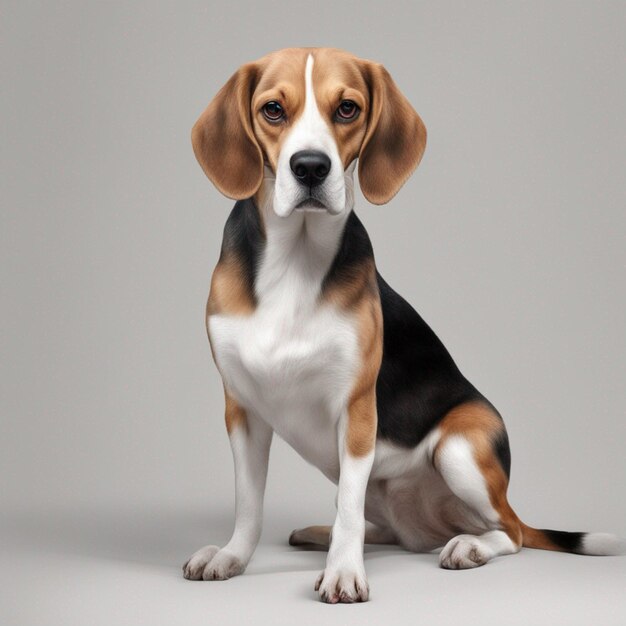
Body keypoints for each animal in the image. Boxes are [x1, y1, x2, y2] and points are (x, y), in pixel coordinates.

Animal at [182, 46, 620, 604]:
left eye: (347, 108)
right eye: (273, 110)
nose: (310, 166)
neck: (295, 262)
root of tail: (430, 526)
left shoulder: (356, 410)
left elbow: (346, 507)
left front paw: (343, 572)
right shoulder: (242, 410)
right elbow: (248, 504)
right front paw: (232, 556)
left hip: (461, 446)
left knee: (510, 532)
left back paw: (467, 546)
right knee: (386, 526)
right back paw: (323, 532)